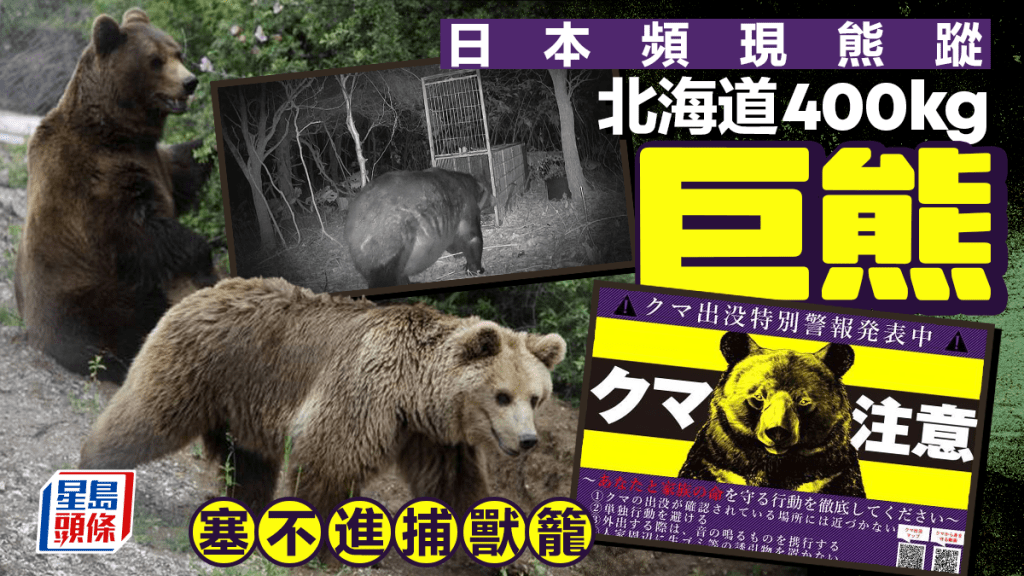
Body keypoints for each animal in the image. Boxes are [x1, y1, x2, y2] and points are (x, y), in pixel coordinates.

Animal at [14, 8, 218, 384]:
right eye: (155, 60)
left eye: (178, 53)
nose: (190, 82)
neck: (117, 130)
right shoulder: (94, 177)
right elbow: (136, 230)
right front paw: (204, 254)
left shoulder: (152, 159)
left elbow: (184, 169)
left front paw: (213, 139)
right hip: (88, 298)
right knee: (126, 324)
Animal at [79, 276, 567, 525]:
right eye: (502, 396)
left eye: (535, 397)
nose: (527, 440)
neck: (414, 393)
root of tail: (206, 289)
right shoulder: (365, 391)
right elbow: (330, 458)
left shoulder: (434, 437)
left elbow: (455, 486)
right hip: (201, 366)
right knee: (147, 415)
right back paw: (94, 463)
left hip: (243, 397)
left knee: (249, 460)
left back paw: (248, 508)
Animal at [345, 167, 491, 288]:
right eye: (487, 191)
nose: (493, 200)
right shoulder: (468, 209)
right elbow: (472, 239)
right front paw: (476, 269)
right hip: (388, 247)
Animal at [678, 331, 866, 498]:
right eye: (758, 396)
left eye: (803, 401)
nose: (777, 432)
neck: (774, 463)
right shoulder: (715, 467)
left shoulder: (832, 476)